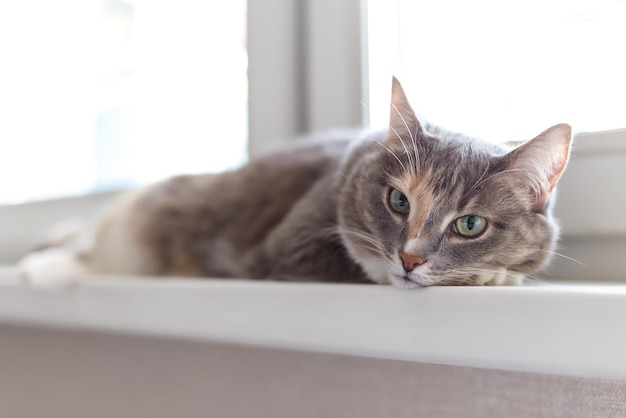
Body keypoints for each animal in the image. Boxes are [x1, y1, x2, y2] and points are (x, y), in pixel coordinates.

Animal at [18, 77, 572, 288]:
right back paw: (43, 265)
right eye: (397, 200)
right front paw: (493, 277)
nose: (410, 259)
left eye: (470, 225)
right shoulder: (289, 245)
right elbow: (355, 262)